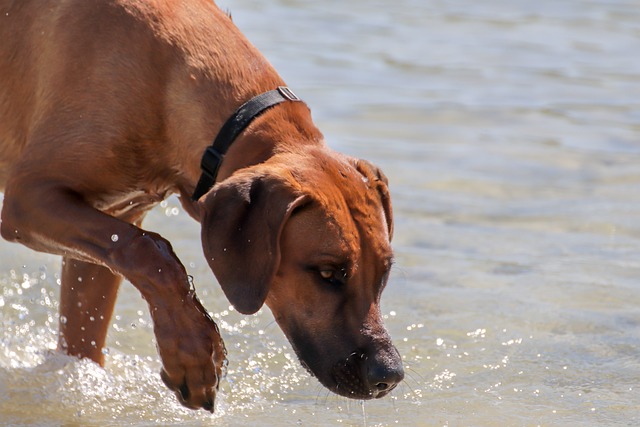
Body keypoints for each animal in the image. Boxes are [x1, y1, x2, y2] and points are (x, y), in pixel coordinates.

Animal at [0, 0, 400, 412]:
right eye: (327, 273)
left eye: (384, 272)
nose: (389, 374)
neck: (168, 80)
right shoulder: (27, 198)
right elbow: (150, 250)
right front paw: (193, 354)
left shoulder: (112, 221)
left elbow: (87, 331)